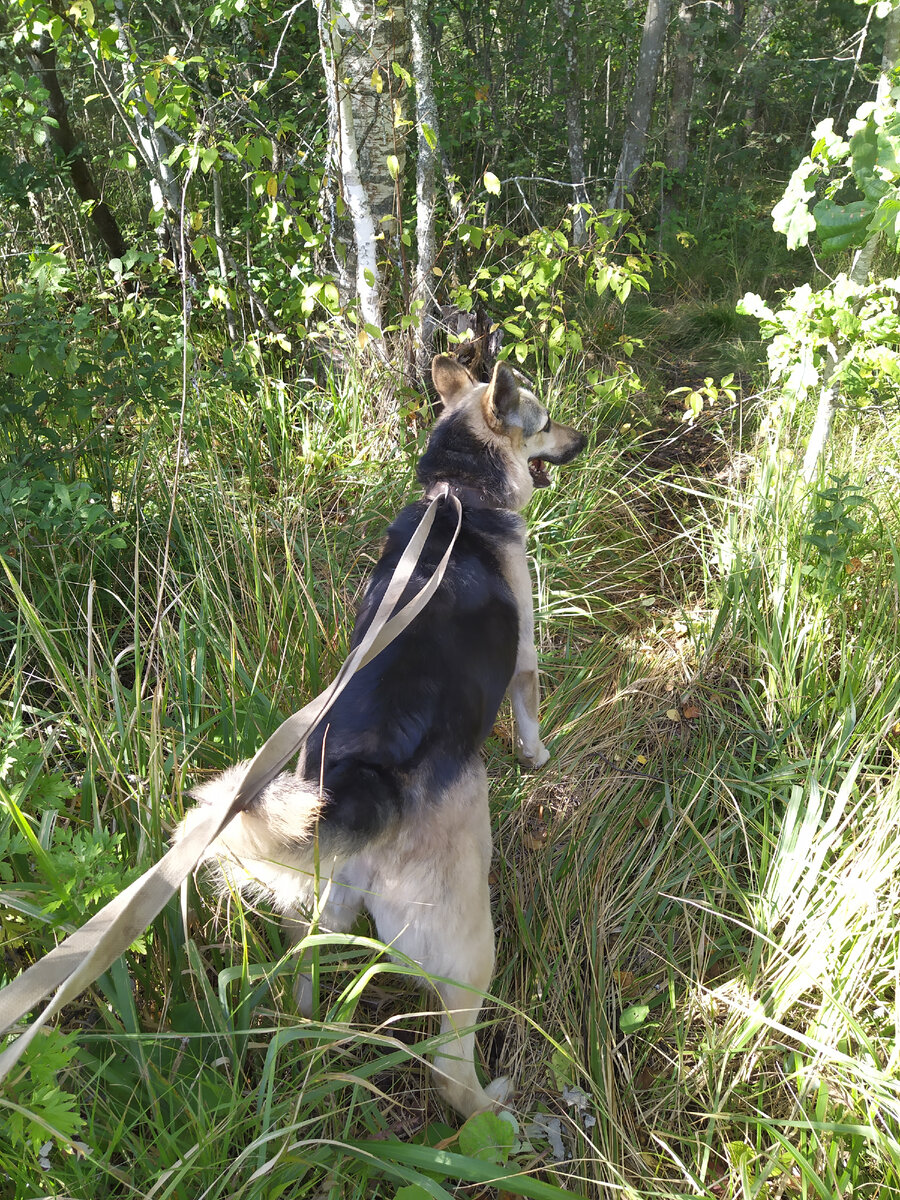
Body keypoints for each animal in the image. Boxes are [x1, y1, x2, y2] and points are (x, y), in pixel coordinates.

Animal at [180, 352, 588, 1113]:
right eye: (546, 423)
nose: (582, 441)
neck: (457, 494)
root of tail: (359, 786)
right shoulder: (525, 660)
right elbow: (530, 718)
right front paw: (538, 756)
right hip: (465, 950)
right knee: (450, 1069)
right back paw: (494, 1107)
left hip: (315, 916)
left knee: (303, 985)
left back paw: (311, 1039)